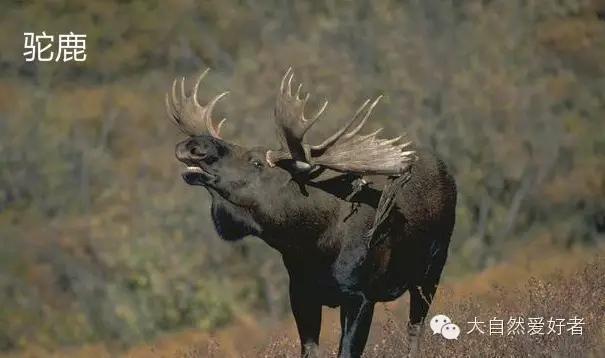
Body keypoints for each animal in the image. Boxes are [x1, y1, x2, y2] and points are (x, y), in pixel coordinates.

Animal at [163, 68, 456, 356]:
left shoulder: (361, 295)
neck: (310, 244)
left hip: (432, 269)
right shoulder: (301, 293)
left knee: (415, 329)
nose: (195, 146)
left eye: (256, 162)